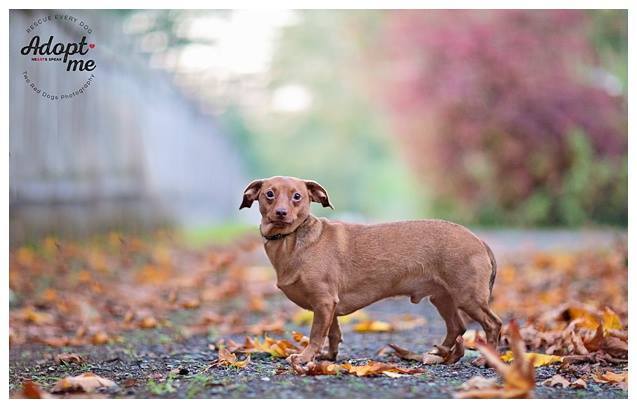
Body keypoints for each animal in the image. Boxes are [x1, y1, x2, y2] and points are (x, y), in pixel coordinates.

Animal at [240, 175, 502, 366]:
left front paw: (305, 357)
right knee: (457, 327)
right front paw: (328, 357)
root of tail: (479, 240)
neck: (292, 241)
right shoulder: (328, 305)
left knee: (493, 325)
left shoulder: (323, 302)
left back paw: (487, 360)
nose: (281, 213)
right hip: (442, 298)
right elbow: (333, 333)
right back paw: (441, 354)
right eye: (269, 194)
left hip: (467, 297)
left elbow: (316, 335)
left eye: (297, 196)